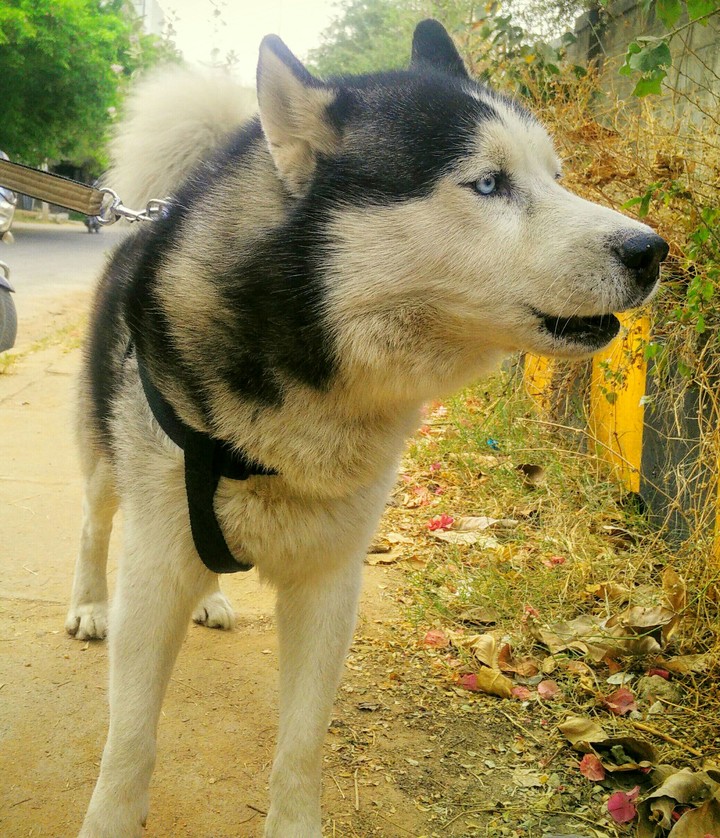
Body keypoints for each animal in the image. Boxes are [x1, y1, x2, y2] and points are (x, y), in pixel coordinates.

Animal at [65, 19, 667, 837]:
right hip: (107, 463)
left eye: (555, 176)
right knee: (95, 523)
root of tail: (141, 225)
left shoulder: (330, 582)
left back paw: (213, 598)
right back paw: (88, 604)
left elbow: (300, 747)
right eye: (488, 183)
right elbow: (129, 743)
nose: (652, 251)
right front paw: (111, 818)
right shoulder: (155, 570)